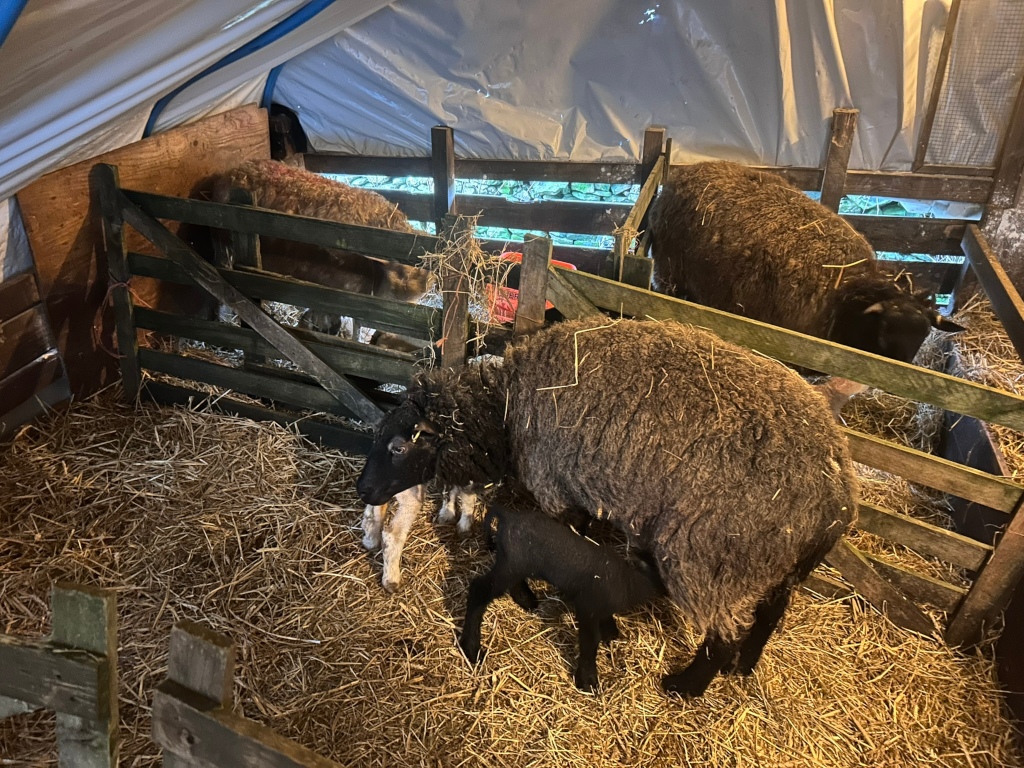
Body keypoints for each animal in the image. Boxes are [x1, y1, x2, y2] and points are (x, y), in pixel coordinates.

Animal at [459, 503, 665, 692]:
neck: (629, 579)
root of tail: (507, 516)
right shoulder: (587, 606)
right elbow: (590, 641)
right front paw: (587, 681)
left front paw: (611, 633)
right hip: (514, 563)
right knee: (479, 589)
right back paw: (471, 648)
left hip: (513, 564)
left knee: (511, 583)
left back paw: (527, 600)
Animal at [648, 160, 963, 413]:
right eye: (886, 330)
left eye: (925, 333)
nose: (899, 383)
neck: (846, 291)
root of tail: (685, 171)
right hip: (670, 273)